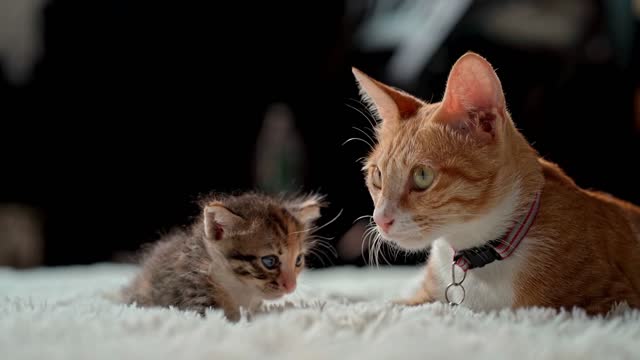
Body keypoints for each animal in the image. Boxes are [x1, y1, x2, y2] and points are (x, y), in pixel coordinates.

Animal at [352, 51, 640, 316]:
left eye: (423, 176)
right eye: (377, 177)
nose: (380, 219)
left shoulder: (612, 303)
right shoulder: (422, 298)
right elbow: (392, 305)